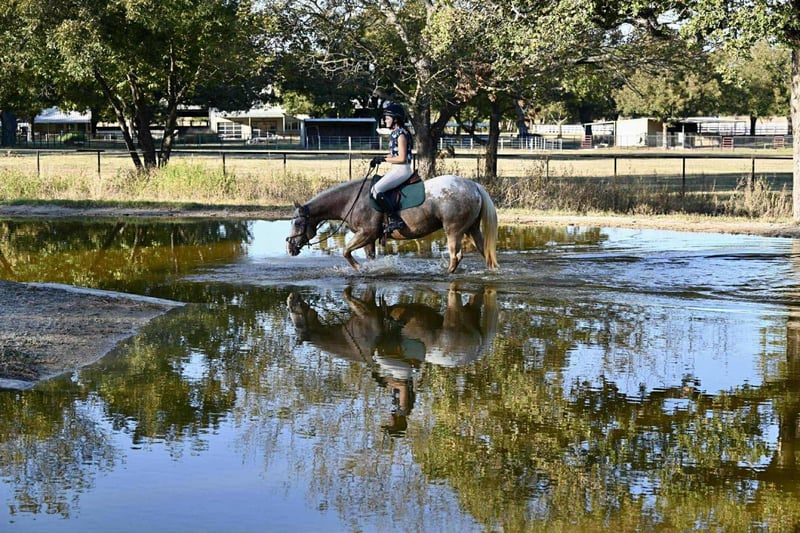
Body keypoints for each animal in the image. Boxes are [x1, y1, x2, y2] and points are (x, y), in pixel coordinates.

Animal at [286, 174, 499, 273]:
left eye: (297, 223)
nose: (290, 247)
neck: (352, 199)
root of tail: (473, 186)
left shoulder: (366, 234)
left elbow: (346, 252)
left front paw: (360, 270)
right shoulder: (368, 239)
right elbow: (369, 257)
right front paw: (370, 269)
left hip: (454, 231)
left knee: (456, 256)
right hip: (471, 229)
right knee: (485, 252)